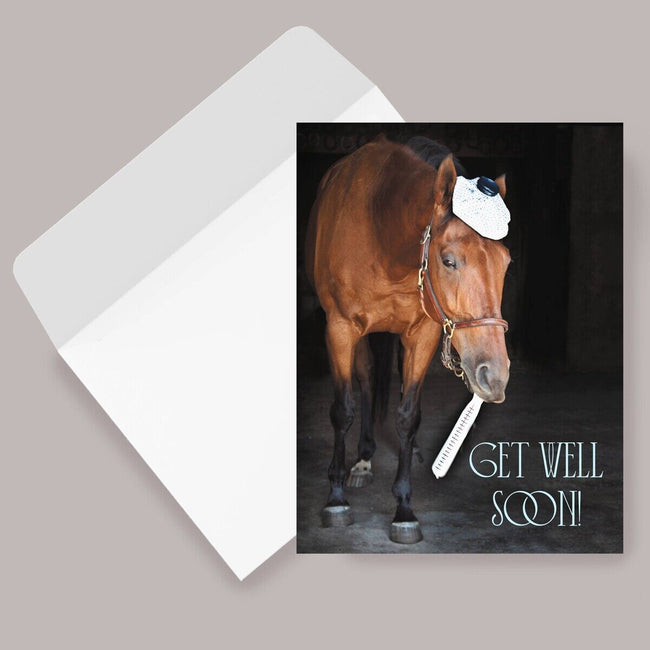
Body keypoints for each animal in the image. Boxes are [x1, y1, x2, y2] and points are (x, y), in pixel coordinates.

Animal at [304, 135, 511, 544]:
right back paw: (362, 461)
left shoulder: (424, 332)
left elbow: (407, 415)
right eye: (448, 260)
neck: (381, 230)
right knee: (367, 378)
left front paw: (403, 507)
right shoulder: (339, 327)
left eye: (506, 262)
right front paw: (335, 498)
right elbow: (343, 409)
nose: (494, 375)